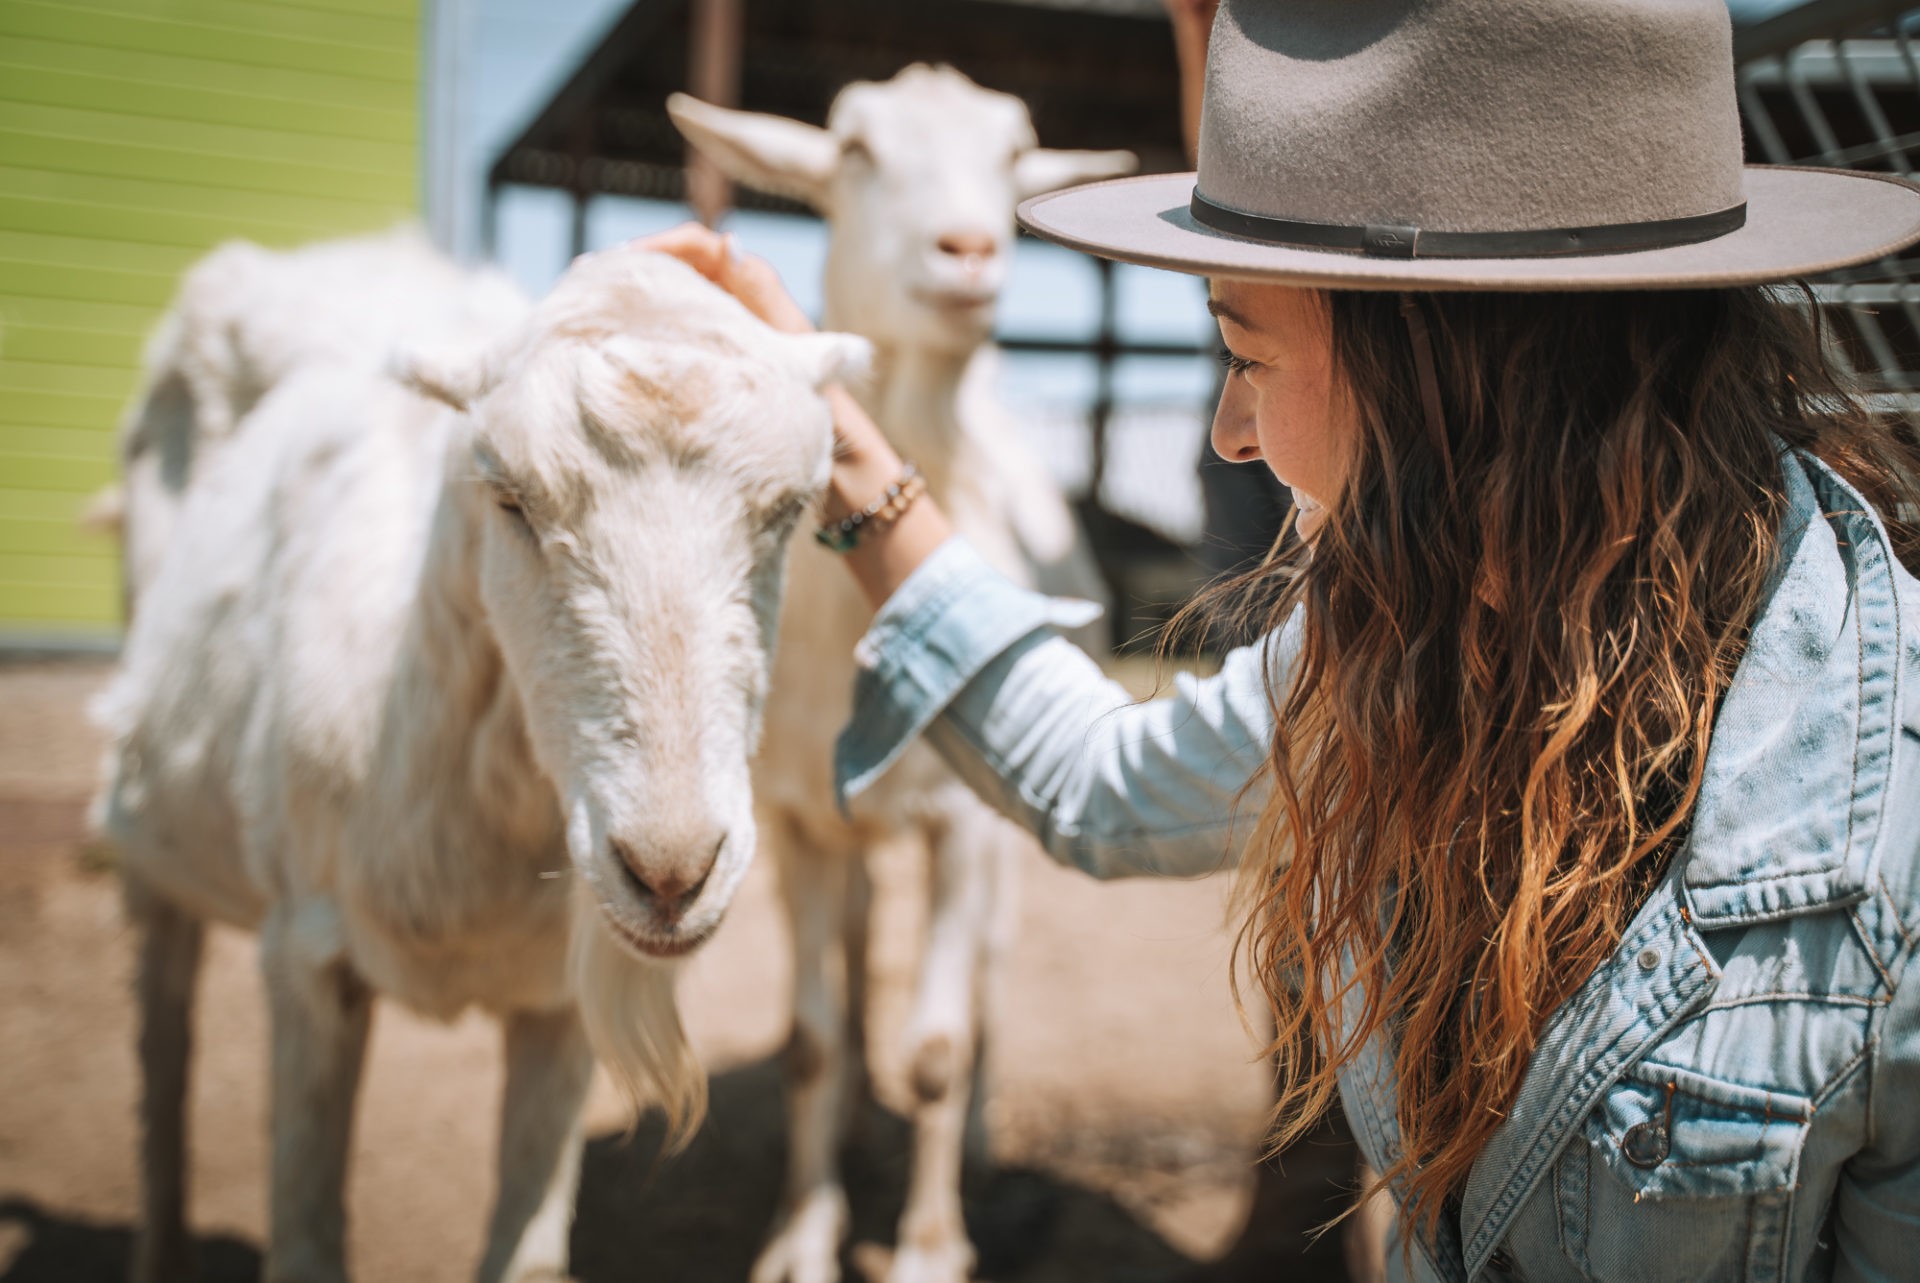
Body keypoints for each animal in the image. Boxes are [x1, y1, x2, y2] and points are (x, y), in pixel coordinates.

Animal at [95, 240, 864, 1283]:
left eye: (788, 511)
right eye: (509, 497)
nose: (671, 872)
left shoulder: (556, 998)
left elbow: (527, 1252)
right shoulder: (304, 952)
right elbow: (304, 1235)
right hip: (155, 849)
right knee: (162, 1060)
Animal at [668, 67, 1128, 1283]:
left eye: (1015, 154)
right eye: (855, 150)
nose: (970, 250)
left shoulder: (964, 822)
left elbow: (936, 1047)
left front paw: (926, 1246)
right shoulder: (792, 817)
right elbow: (808, 1044)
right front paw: (803, 1234)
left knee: (989, 979)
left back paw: (973, 1138)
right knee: (859, 945)